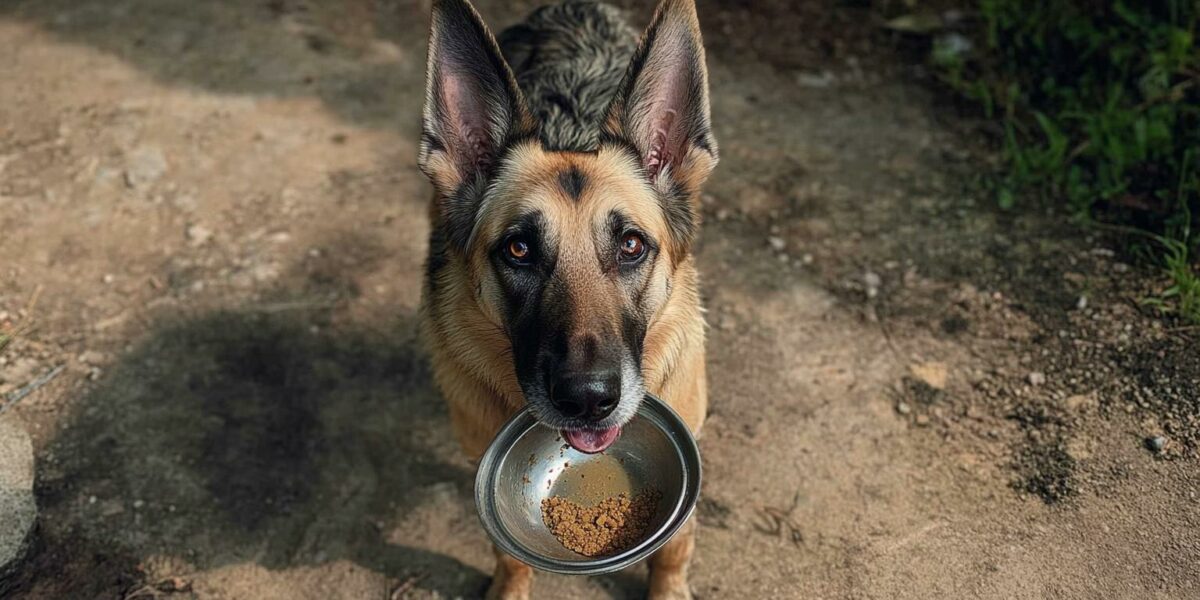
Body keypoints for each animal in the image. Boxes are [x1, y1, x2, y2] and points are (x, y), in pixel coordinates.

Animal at [417, 0, 715, 595]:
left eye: (630, 245)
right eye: (519, 249)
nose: (587, 400)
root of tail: (573, 8)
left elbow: (675, 548)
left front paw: (670, 588)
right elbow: (509, 555)